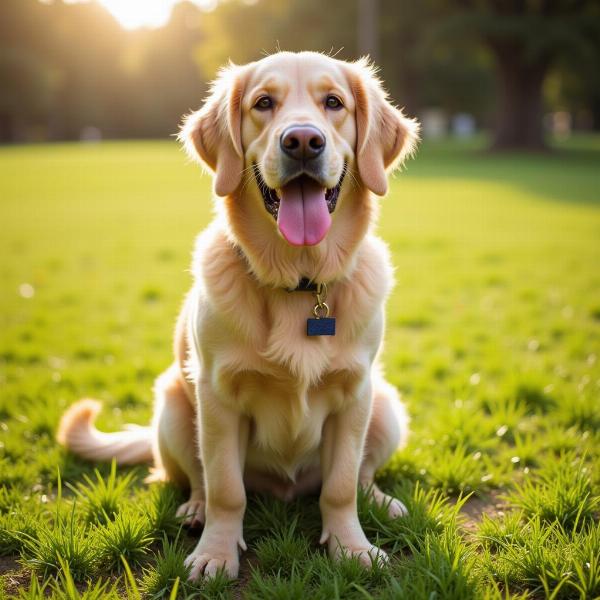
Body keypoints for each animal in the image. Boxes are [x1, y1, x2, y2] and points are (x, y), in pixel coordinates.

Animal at [58, 52, 420, 580]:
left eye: (334, 103)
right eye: (263, 103)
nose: (303, 141)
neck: (299, 283)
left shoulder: (356, 393)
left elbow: (339, 486)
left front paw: (351, 547)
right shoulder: (217, 397)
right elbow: (227, 488)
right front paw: (215, 553)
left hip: (386, 407)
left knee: (359, 475)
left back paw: (380, 501)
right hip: (173, 405)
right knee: (196, 477)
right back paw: (195, 509)